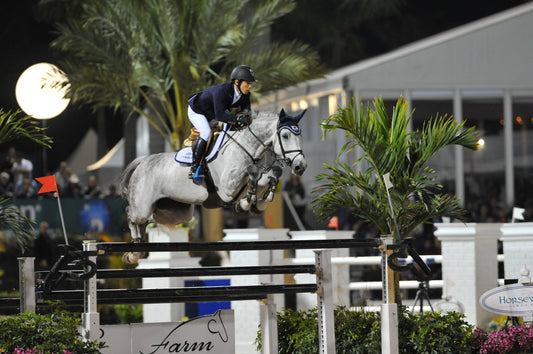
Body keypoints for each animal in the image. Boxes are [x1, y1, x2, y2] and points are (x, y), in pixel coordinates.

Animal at [118, 109, 306, 262]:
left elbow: (272, 173)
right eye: (285, 136)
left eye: (300, 135)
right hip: (143, 206)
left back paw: (137, 249)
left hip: (175, 213)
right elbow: (253, 172)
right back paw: (133, 252)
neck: (245, 147)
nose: (300, 166)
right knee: (131, 215)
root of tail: (142, 161)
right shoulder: (227, 188)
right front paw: (247, 203)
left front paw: (258, 202)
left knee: (148, 221)